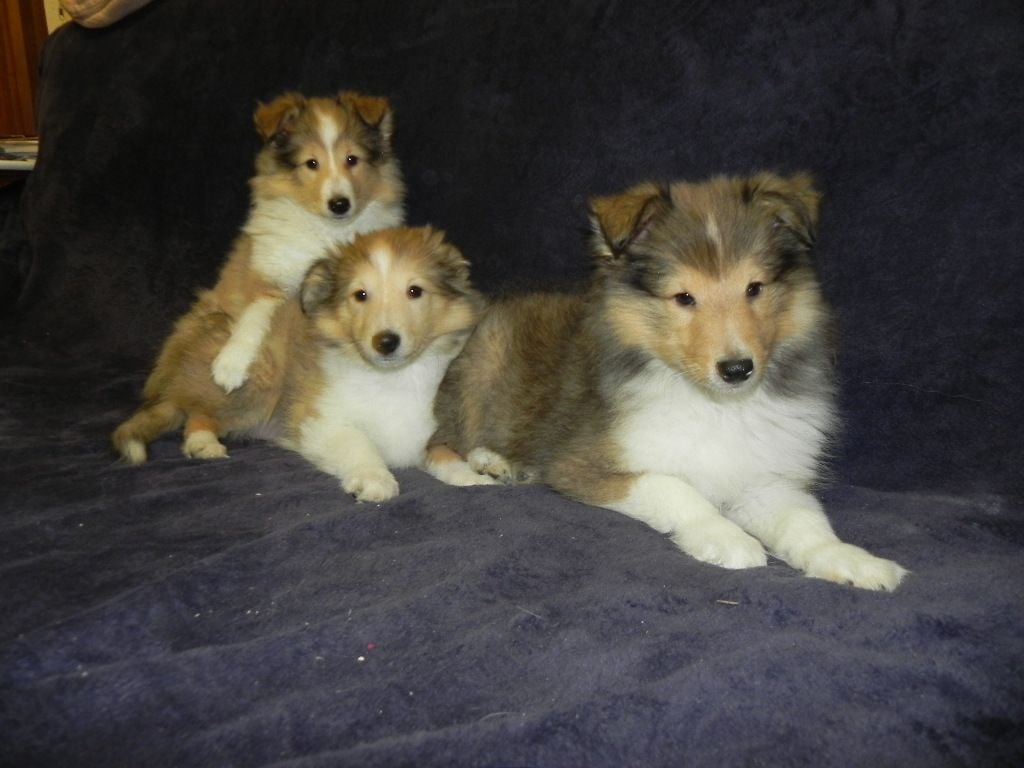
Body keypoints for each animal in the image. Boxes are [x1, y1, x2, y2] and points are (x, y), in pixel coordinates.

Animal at [113, 227, 482, 502]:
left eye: (415, 291)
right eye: (360, 295)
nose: (386, 342)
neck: (393, 378)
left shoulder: (431, 430)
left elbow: (443, 453)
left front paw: (471, 477)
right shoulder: (320, 419)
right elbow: (358, 444)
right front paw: (374, 479)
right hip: (260, 381)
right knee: (196, 411)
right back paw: (202, 443)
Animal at [209, 90, 405, 394]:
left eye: (352, 159)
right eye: (311, 163)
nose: (340, 204)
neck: (325, 231)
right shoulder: (268, 278)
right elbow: (253, 315)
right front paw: (231, 364)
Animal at [427, 172, 908, 591]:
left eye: (754, 288)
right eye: (684, 297)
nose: (738, 369)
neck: (718, 406)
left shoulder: (764, 479)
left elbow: (806, 521)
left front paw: (851, 560)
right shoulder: (582, 465)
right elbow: (675, 487)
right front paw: (728, 538)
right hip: (479, 377)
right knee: (437, 443)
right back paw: (475, 471)